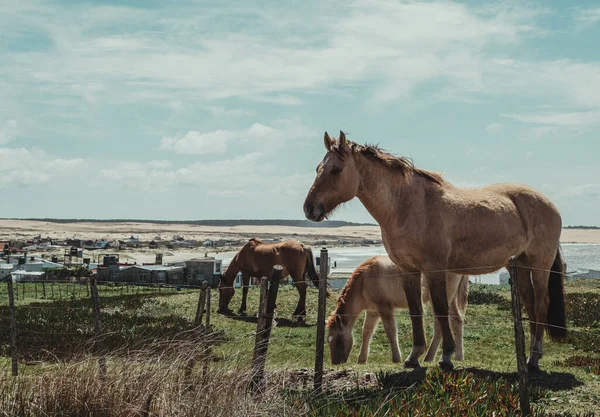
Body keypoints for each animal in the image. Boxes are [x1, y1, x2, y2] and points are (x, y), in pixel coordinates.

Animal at [328, 254, 468, 364]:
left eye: (338, 339)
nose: (336, 362)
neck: (363, 281)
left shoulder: (385, 307)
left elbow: (391, 331)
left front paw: (396, 358)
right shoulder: (372, 311)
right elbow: (366, 332)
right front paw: (361, 359)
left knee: (440, 324)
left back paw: (429, 357)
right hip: (452, 298)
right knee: (456, 321)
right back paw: (458, 357)